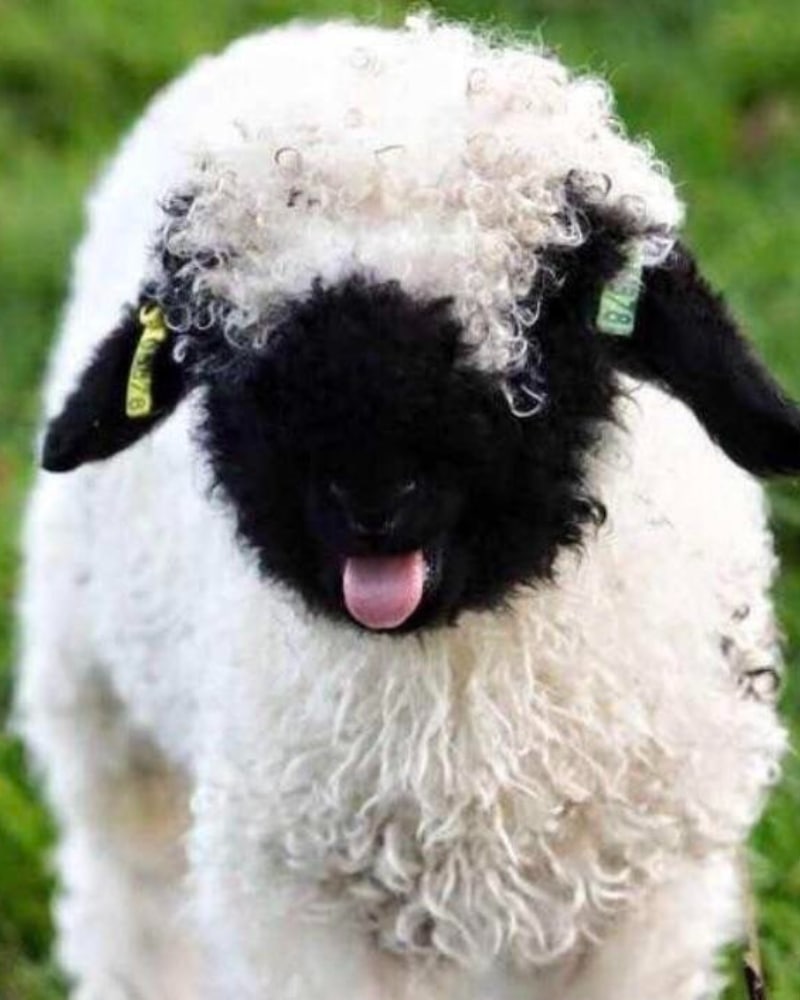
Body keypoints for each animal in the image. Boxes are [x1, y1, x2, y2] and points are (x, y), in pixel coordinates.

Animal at [17, 15, 800, 1000]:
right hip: (100, 707)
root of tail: (315, 28)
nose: (372, 501)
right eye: (230, 349)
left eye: (549, 313)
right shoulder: (300, 904)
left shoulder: (643, 905)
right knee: (133, 900)